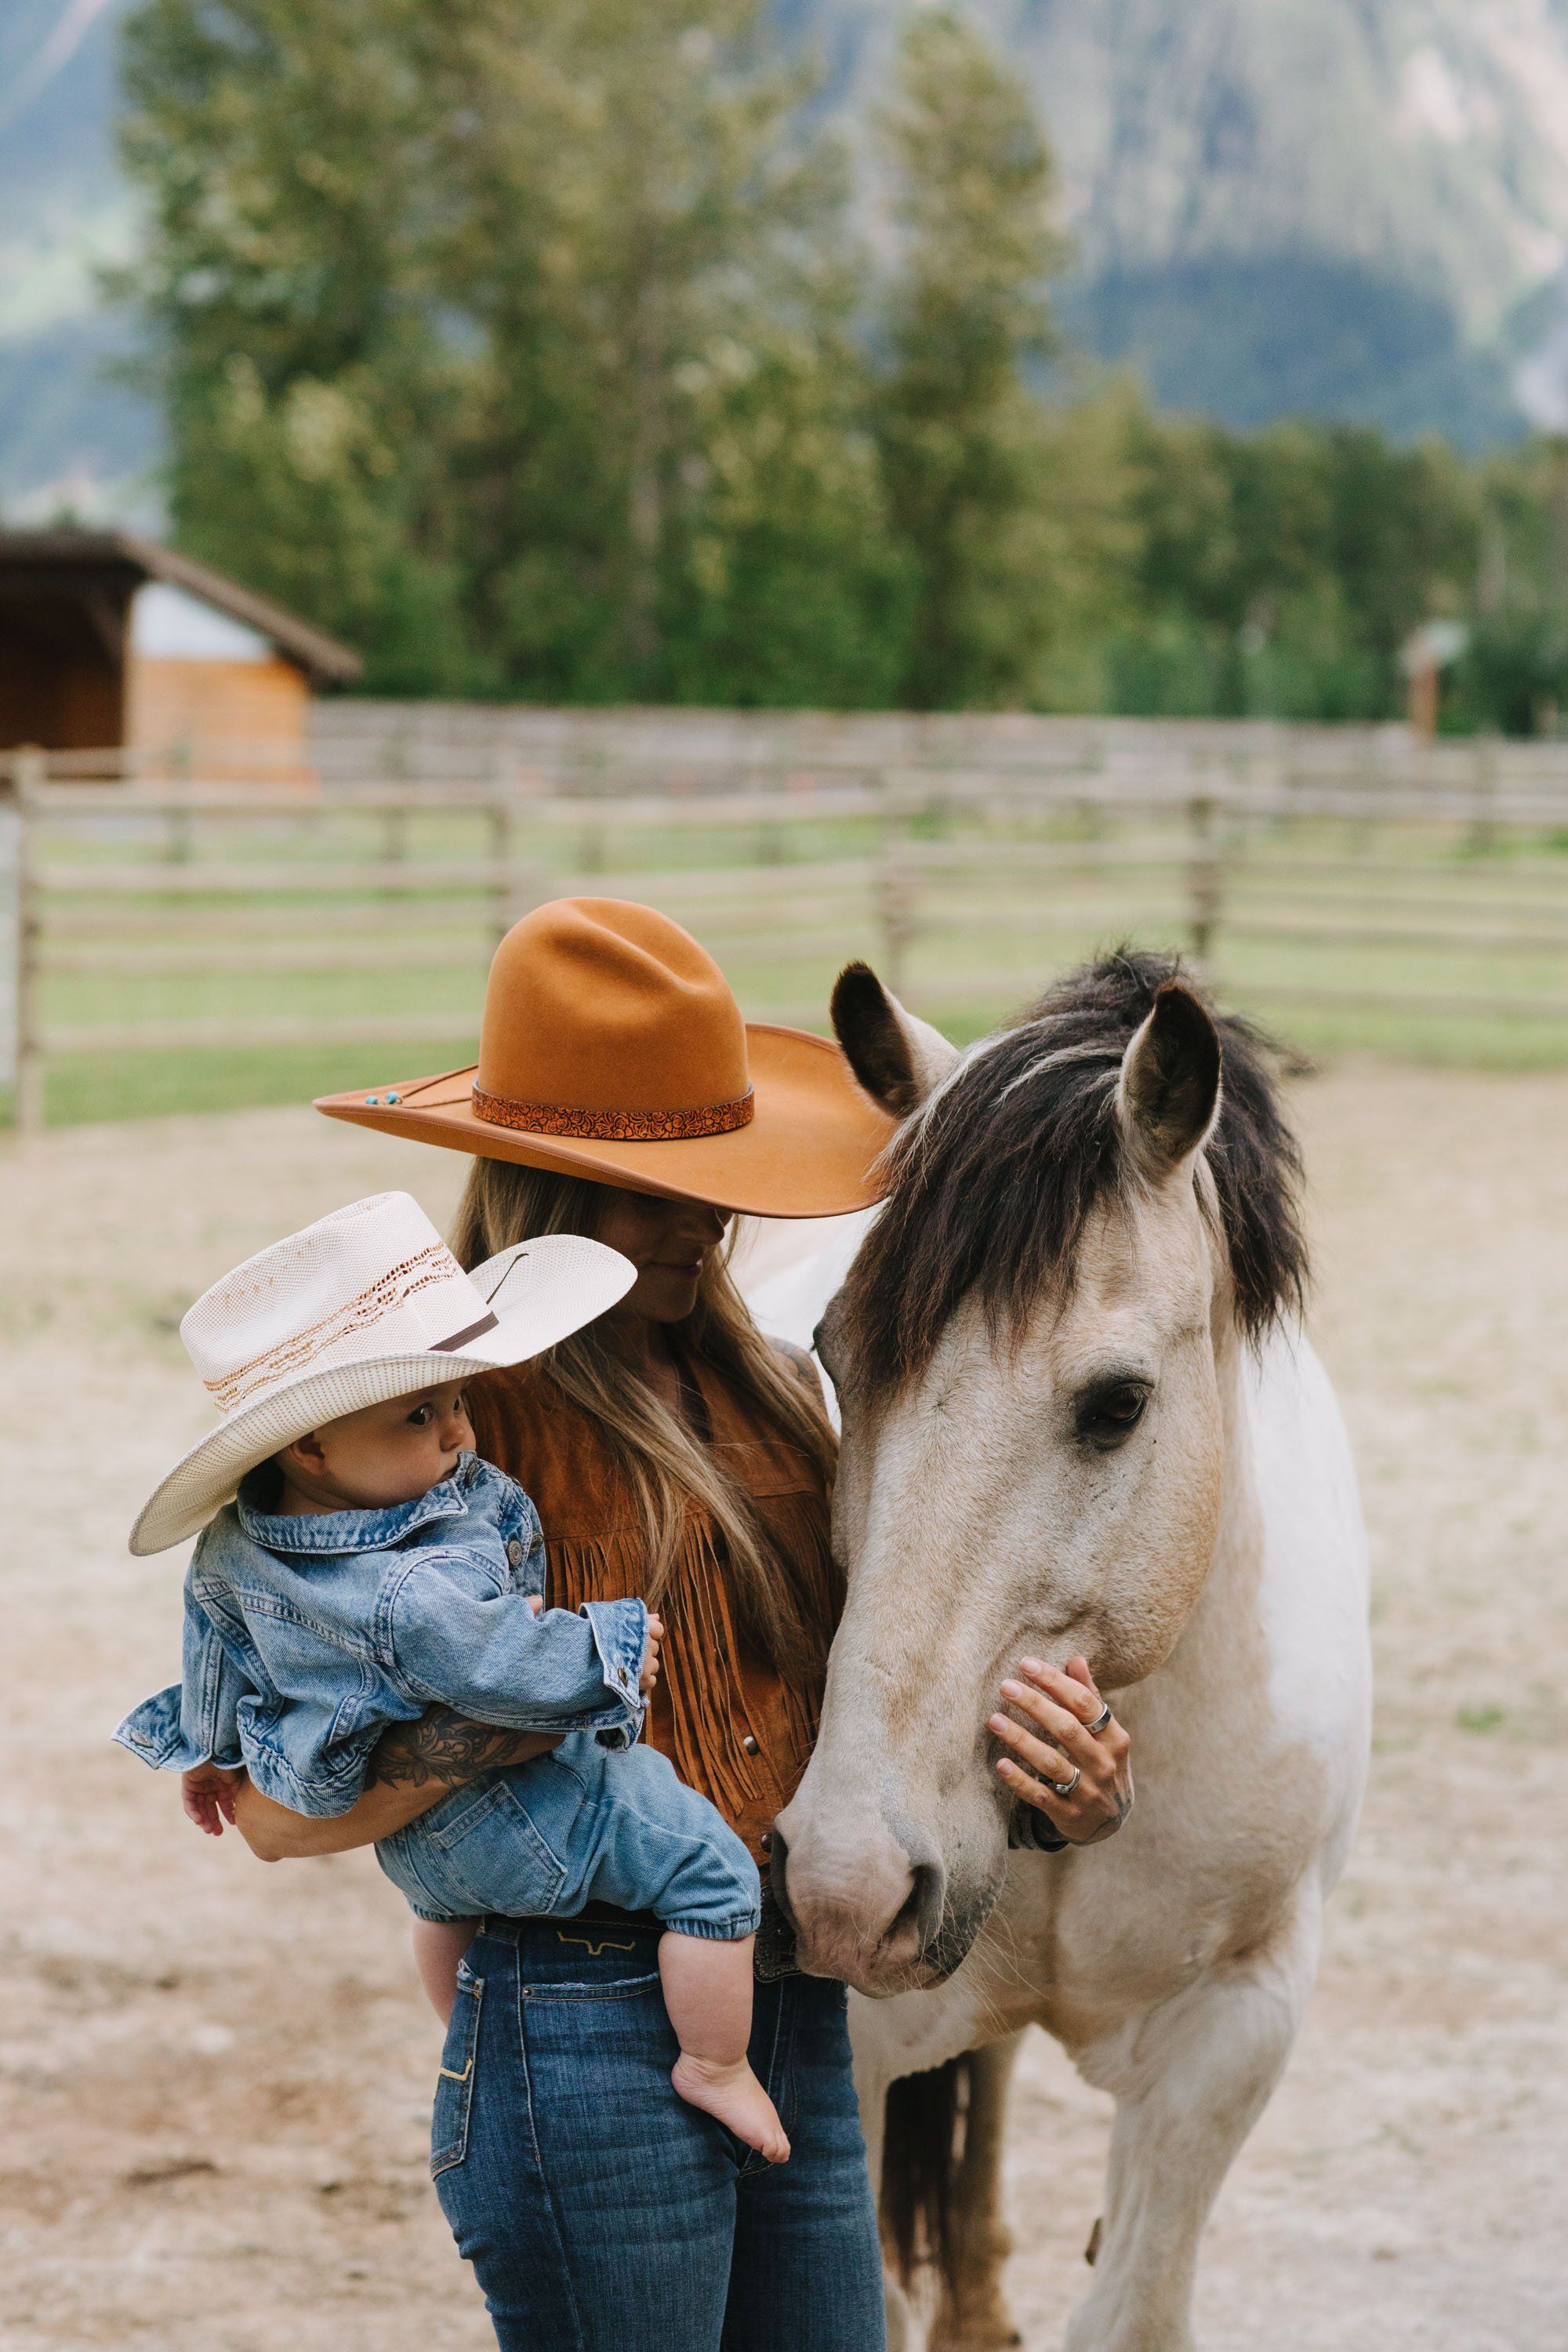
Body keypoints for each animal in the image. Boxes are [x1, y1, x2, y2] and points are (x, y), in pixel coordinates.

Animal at [755, 950, 1372, 2351]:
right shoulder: (848, 2054)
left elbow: (1134, 2310)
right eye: (834, 1359)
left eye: (1117, 1404)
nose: (843, 1884)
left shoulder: (1236, 2029)